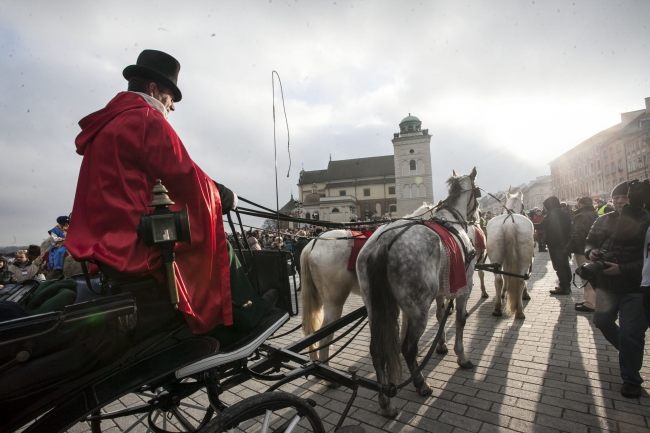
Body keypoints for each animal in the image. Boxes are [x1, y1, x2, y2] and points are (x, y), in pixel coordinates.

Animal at [352, 168, 478, 416]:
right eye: (477, 195)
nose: (477, 217)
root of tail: (383, 244)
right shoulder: (464, 289)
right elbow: (460, 320)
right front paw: (461, 355)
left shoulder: (440, 291)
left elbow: (440, 315)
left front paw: (441, 345)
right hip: (420, 308)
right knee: (408, 348)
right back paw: (421, 384)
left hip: (376, 308)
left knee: (377, 350)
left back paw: (385, 401)